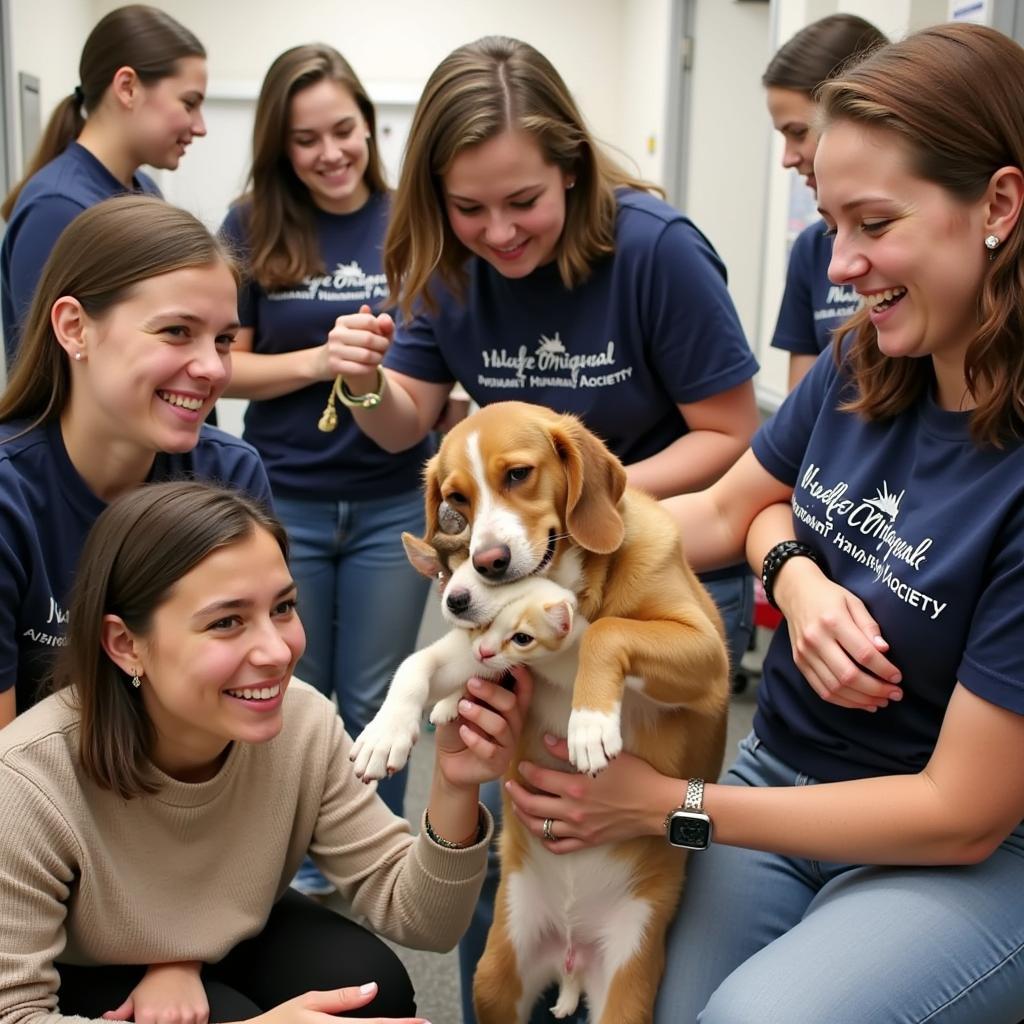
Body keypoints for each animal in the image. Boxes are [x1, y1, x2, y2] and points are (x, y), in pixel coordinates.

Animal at [428, 399, 733, 1024]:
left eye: (518, 475)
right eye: (456, 500)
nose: (487, 562)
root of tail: (571, 954)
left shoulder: (708, 657)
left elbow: (608, 629)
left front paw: (589, 723)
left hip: (626, 990)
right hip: (497, 977)